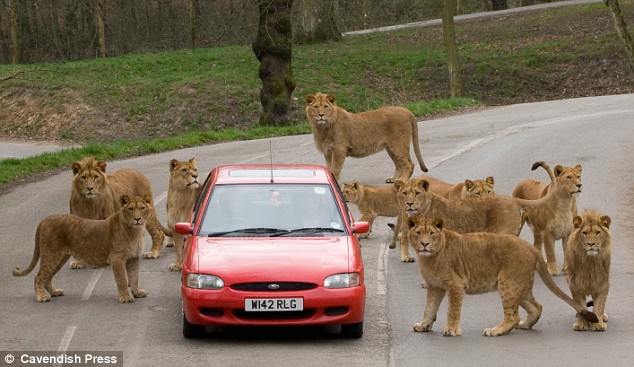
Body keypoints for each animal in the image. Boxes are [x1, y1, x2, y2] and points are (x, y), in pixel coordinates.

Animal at [12, 196, 151, 304]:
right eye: (130, 209)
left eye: (142, 208)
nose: (137, 219)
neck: (135, 232)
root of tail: (45, 220)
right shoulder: (117, 258)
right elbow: (122, 279)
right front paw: (125, 297)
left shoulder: (133, 258)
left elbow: (134, 277)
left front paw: (137, 292)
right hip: (51, 254)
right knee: (39, 276)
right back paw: (42, 296)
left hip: (60, 257)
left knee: (48, 277)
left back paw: (54, 292)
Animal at [392, 162, 556, 264]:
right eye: (405, 193)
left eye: (417, 193)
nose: (409, 204)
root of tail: (513, 199)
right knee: (404, 238)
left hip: (503, 231)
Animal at [402, 217, 596, 338]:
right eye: (418, 233)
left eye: (431, 234)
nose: (424, 244)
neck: (429, 258)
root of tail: (531, 248)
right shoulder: (434, 286)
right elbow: (429, 308)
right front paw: (424, 325)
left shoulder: (456, 284)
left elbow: (452, 310)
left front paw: (451, 329)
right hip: (520, 286)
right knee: (536, 306)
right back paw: (525, 325)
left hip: (508, 284)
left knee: (513, 316)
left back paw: (495, 331)